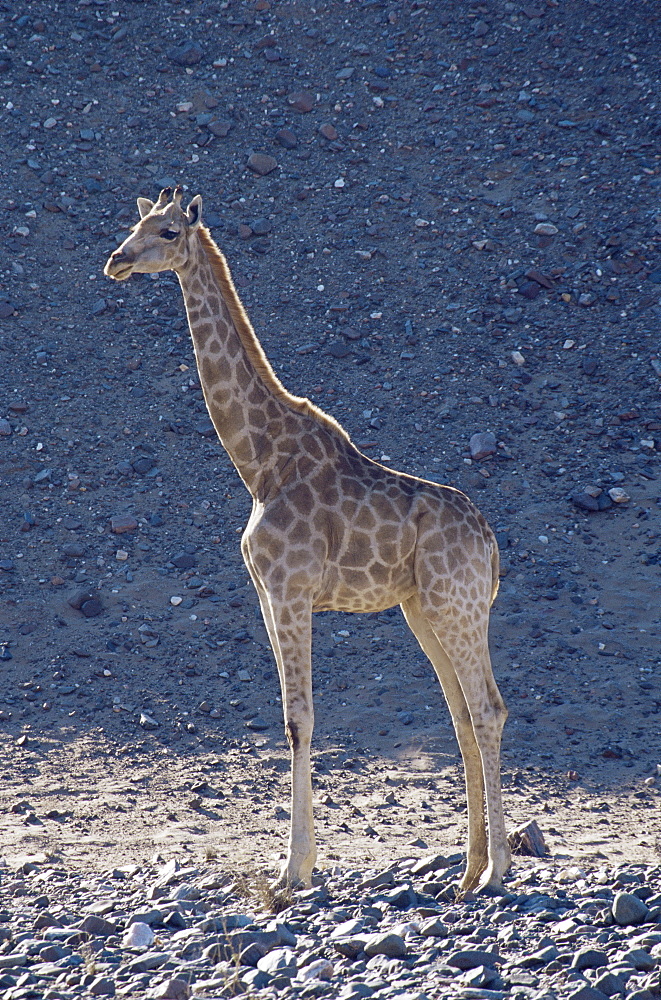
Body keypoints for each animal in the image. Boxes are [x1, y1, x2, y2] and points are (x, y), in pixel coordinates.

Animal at [104, 186, 510, 892]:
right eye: (134, 223)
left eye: (168, 230)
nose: (116, 261)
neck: (260, 461)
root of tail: (489, 546)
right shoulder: (267, 595)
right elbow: (290, 716)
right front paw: (295, 863)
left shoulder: (291, 591)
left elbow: (300, 719)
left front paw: (293, 870)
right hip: (424, 609)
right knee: (463, 714)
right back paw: (465, 872)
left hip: (457, 606)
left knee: (487, 707)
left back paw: (497, 873)